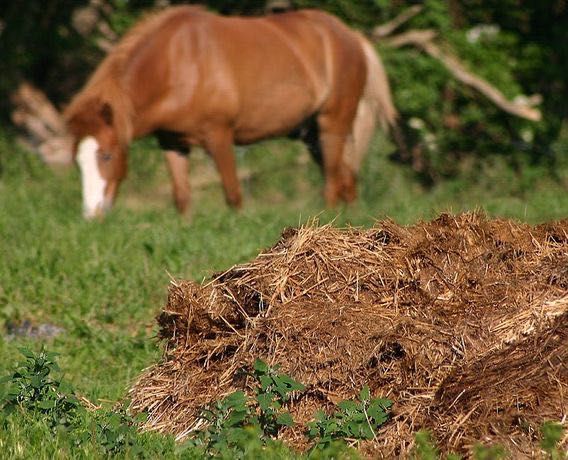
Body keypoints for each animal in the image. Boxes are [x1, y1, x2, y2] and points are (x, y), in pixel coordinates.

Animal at [64, 4, 398, 217]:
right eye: (77, 162)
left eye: (107, 155)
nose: (92, 213)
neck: (177, 64)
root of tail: (351, 36)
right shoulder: (172, 143)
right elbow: (182, 198)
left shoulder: (219, 136)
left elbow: (233, 195)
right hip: (312, 134)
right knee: (347, 179)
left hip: (333, 124)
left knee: (332, 182)